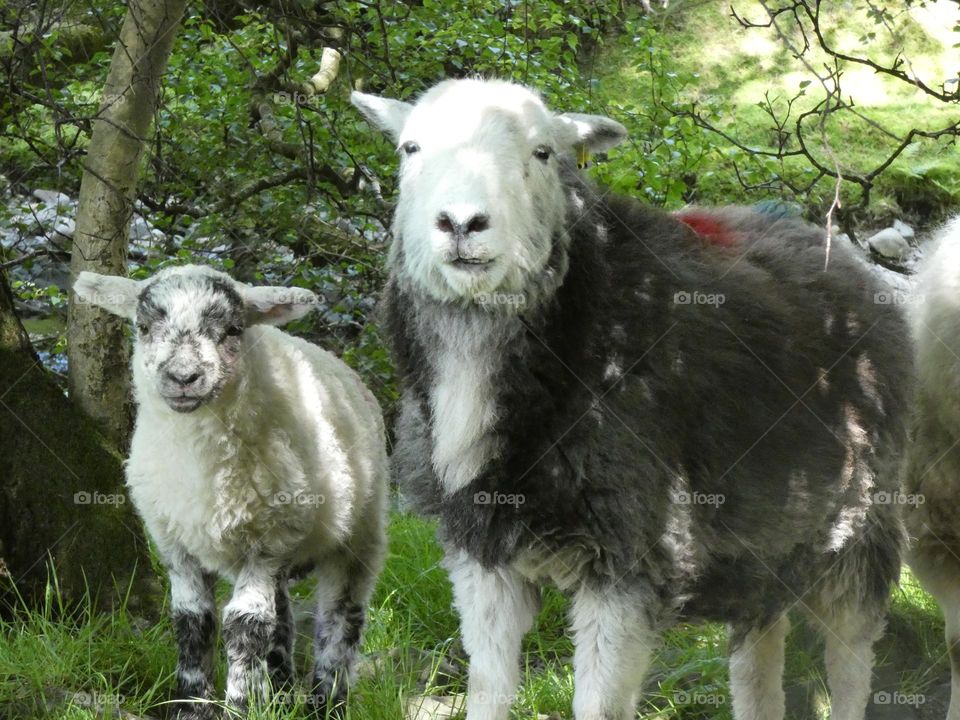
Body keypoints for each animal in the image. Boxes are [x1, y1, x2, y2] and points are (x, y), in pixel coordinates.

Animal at [73, 264, 387, 719]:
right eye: (144, 327)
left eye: (234, 329)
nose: (183, 378)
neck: (200, 464)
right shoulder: (175, 543)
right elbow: (192, 621)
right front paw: (192, 706)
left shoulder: (267, 541)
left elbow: (245, 624)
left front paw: (242, 703)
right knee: (283, 615)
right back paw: (280, 690)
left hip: (359, 530)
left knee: (342, 615)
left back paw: (325, 702)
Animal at [351, 78, 912, 720]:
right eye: (410, 148)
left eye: (544, 152)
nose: (463, 223)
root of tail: (821, 238)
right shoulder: (480, 552)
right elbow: (488, 690)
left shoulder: (628, 562)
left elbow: (597, 705)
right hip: (767, 538)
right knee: (758, 656)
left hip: (860, 525)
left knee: (850, 662)